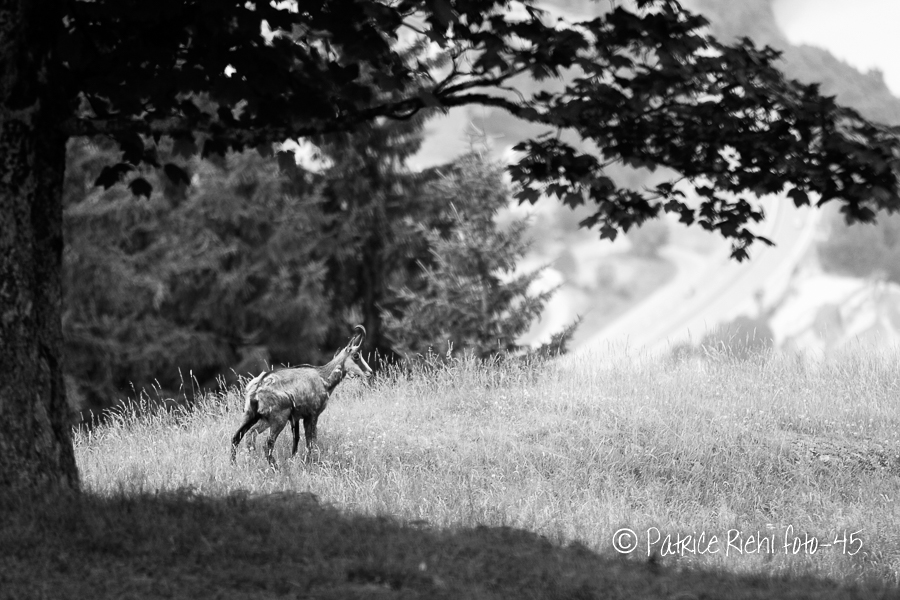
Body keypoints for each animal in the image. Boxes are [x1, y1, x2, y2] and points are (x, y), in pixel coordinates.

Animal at [230, 324, 373, 467]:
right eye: (356, 355)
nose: (370, 372)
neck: (323, 377)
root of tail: (258, 386)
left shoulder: (298, 418)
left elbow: (299, 441)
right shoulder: (312, 415)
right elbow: (311, 442)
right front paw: (312, 463)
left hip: (254, 416)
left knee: (241, 436)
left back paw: (238, 464)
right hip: (278, 419)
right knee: (267, 443)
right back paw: (275, 468)